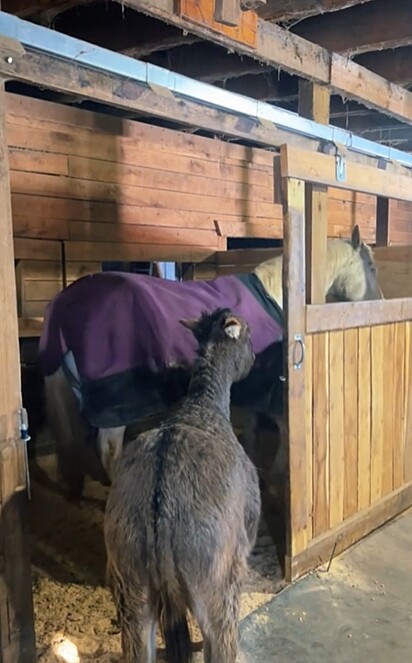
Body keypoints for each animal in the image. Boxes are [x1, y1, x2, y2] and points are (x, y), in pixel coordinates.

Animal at [39, 224, 384, 498]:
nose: (380, 302)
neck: (273, 295)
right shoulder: (269, 382)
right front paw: (278, 475)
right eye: (371, 265)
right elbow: (282, 426)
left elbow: (254, 425)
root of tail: (64, 304)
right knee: (109, 453)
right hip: (114, 406)